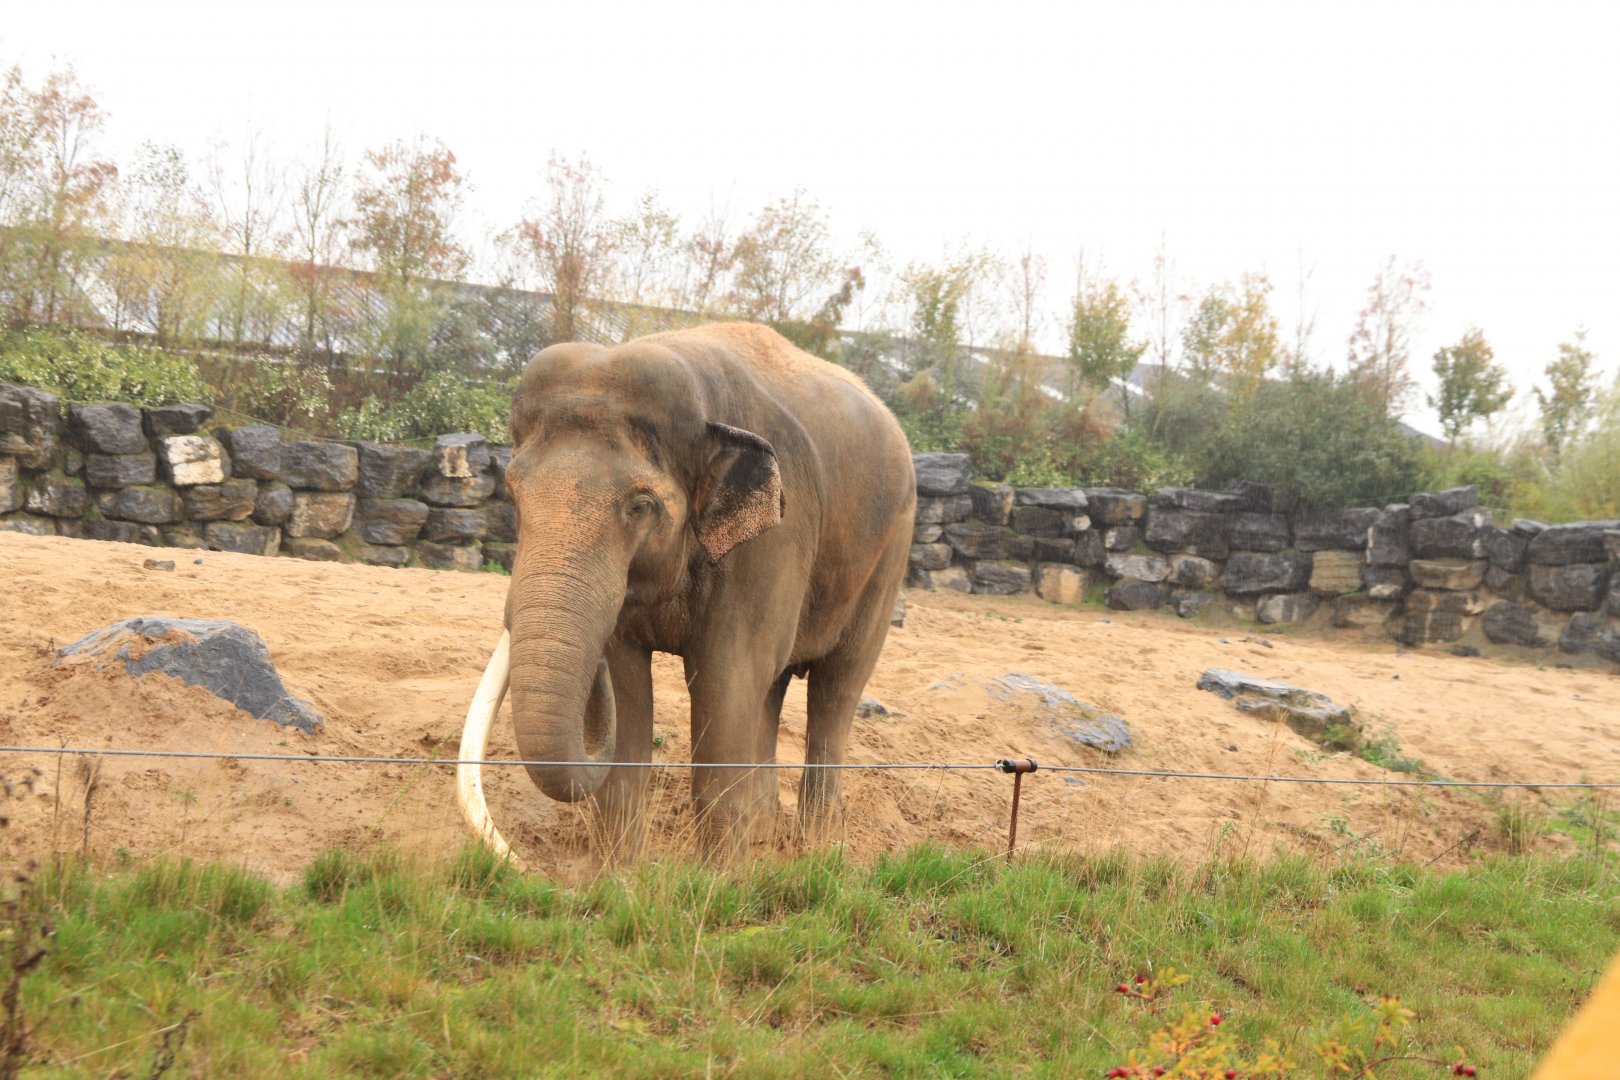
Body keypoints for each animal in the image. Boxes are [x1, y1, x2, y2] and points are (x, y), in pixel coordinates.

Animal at [457, 323, 916, 861]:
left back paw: (816, 848)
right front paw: (615, 871)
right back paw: (762, 833)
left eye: (641, 505)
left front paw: (718, 879)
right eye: (512, 492)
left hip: (890, 551)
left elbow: (726, 674)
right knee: (774, 682)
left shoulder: (775, 536)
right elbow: (629, 679)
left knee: (836, 685)